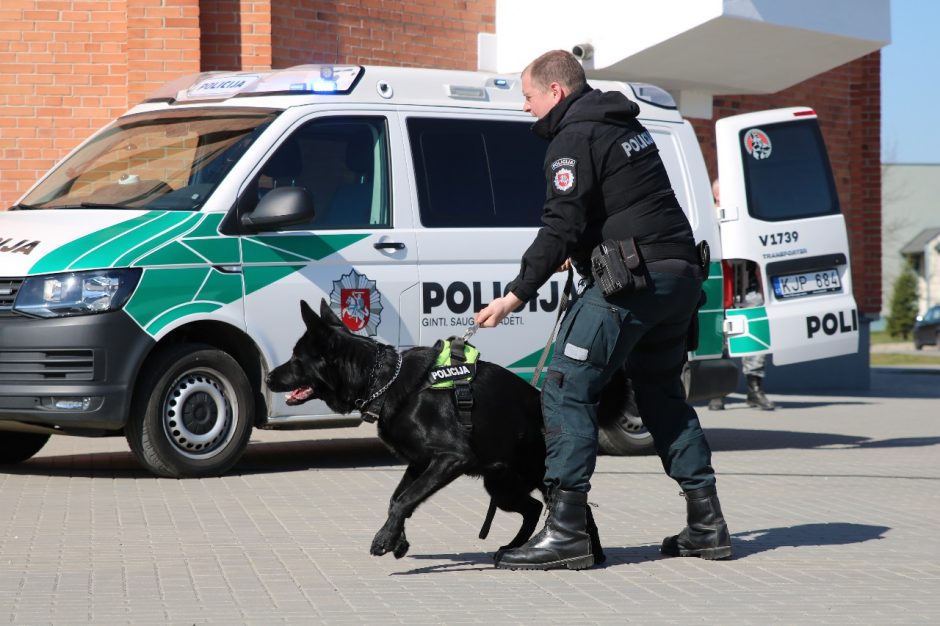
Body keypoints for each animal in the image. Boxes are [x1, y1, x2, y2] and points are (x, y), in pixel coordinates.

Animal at [266, 298, 604, 560]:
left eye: (296, 359)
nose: (267, 378)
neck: (385, 382)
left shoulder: (451, 458)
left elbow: (404, 499)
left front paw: (385, 539)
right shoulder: (419, 463)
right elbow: (398, 498)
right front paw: (397, 538)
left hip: (538, 475)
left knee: (575, 507)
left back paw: (584, 554)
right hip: (501, 485)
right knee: (534, 508)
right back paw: (516, 548)